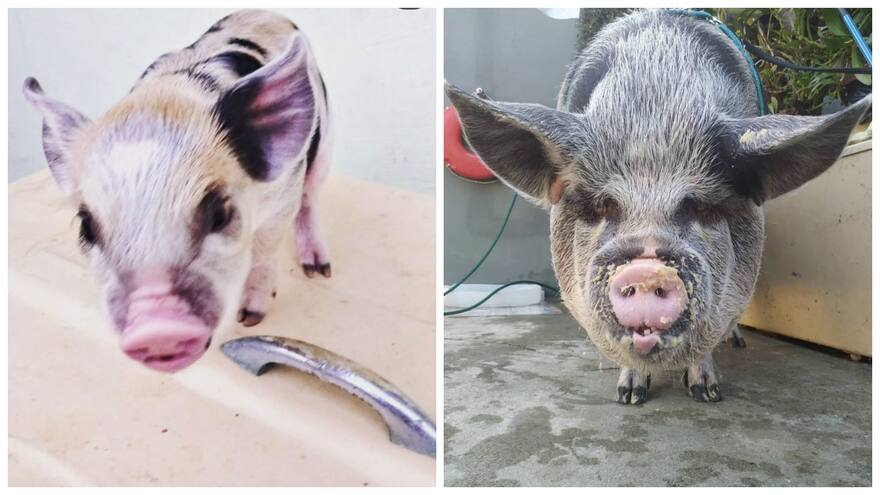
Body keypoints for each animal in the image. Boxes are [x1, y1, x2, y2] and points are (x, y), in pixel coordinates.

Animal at [23, 10, 333, 373]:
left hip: (324, 145)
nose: (156, 329)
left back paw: (319, 270)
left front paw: (250, 319)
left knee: (310, 198)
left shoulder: (284, 194)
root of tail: (265, 12)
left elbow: (265, 250)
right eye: (86, 227)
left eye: (219, 214)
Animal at [445, 9, 871, 404]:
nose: (647, 268)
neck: (654, 108)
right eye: (602, 205)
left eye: (700, 206)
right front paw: (629, 397)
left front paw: (707, 393)